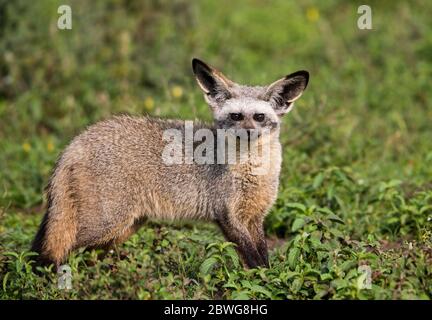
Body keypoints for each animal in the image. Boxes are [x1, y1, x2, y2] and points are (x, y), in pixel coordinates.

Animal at [31, 58, 308, 268]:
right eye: (236, 116)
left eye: (259, 117)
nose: (248, 133)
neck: (253, 171)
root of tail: (75, 143)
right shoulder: (228, 215)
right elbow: (254, 259)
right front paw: (264, 281)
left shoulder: (255, 216)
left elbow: (262, 253)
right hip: (106, 224)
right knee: (59, 252)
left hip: (125, 227)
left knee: (83, 255)